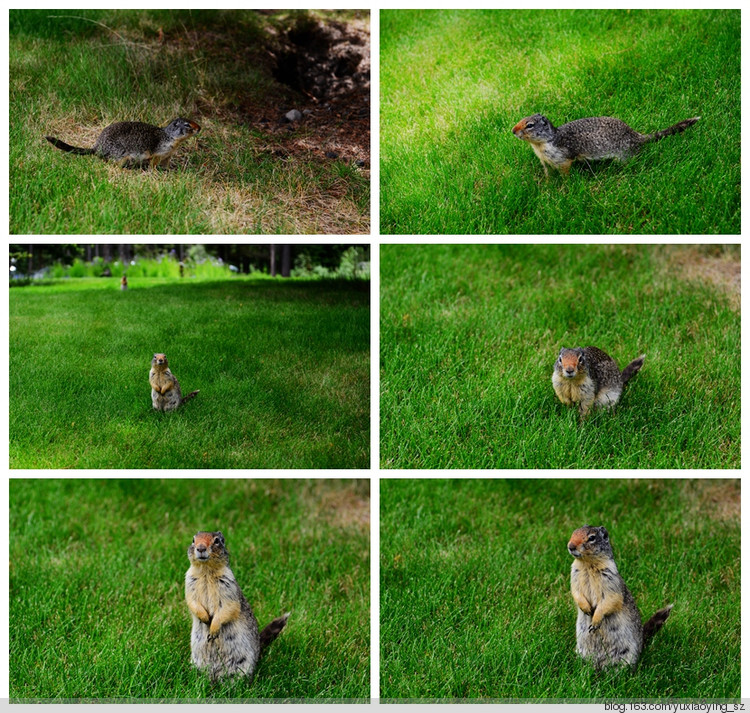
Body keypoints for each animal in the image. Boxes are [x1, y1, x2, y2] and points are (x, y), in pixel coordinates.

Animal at [44, 119, 200, 171]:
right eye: (187, 124)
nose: (200, 128)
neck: (170, 137)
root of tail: (97, 147)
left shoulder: (168, 155)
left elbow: (166, 164)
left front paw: (170, 170)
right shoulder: (159, 152)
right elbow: (153, 163)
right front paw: (155, 172)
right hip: (121, 154)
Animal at [186, 532, 290, 680]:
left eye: (217, 541)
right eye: (193, 540)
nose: (200, 548)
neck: (206, 571)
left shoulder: (228, 587)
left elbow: (228, 608)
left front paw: (213, 629)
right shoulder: (189, 582)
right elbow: (192, 602)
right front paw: (205, 619)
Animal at [516, 114, 704, 177]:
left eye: (529, 125)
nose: (512, 130)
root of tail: (637, 136)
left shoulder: (562, 159)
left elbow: (565, 172)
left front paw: (564, 186)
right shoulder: (544, 161)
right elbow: (547, 173)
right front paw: (548, 184)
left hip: (625, 155)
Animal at [568, 524, 676, 668]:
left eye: (592, 538)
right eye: (573, 533)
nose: (570, 546)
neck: (587, 564)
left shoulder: (610, 581)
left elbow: (610, 600)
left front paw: (595, 621)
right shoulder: (574, 575)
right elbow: (576, 593)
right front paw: (586, 608)